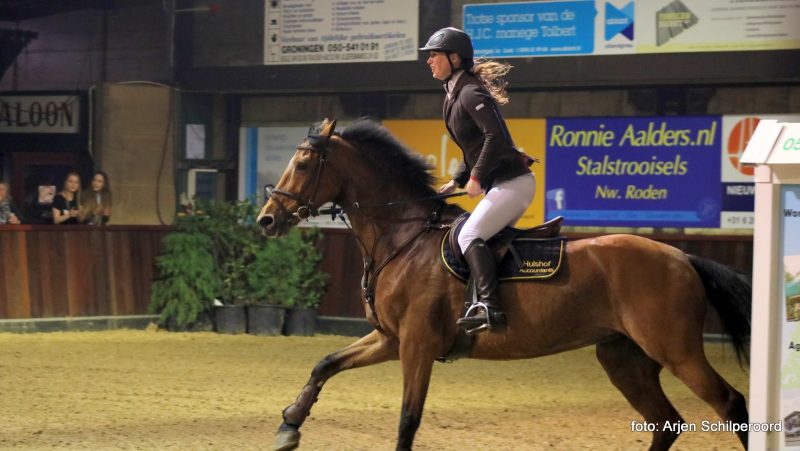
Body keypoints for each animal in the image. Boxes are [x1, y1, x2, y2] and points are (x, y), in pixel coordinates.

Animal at [256, 118, 752, 450]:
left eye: (303, 164)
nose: (266, 220)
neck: (403, 237)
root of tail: (681, 257)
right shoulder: (391, 339)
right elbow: (325, 363)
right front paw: (289, 424)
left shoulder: (416, 345)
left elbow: (408, 419)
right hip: (624, 358)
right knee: (665, 421)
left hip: (677, 351)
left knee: (730, 404)